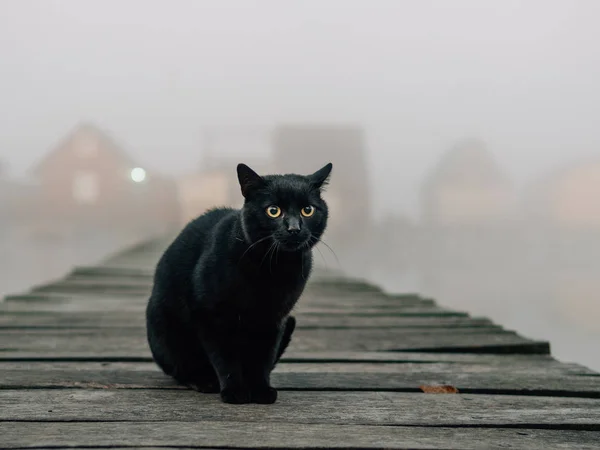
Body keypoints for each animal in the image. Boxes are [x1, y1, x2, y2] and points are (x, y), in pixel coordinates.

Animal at [146, 162, 332, 404]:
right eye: (273, 210)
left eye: (307, 210)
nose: (294, 228)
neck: (273, 269)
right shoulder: (211, 315)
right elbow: (225, 359)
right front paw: (235, 391)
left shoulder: (274, 320)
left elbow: (262, 359)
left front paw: (261, 390)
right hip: (165, 328)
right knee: (181, 367)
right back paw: (204, 381)